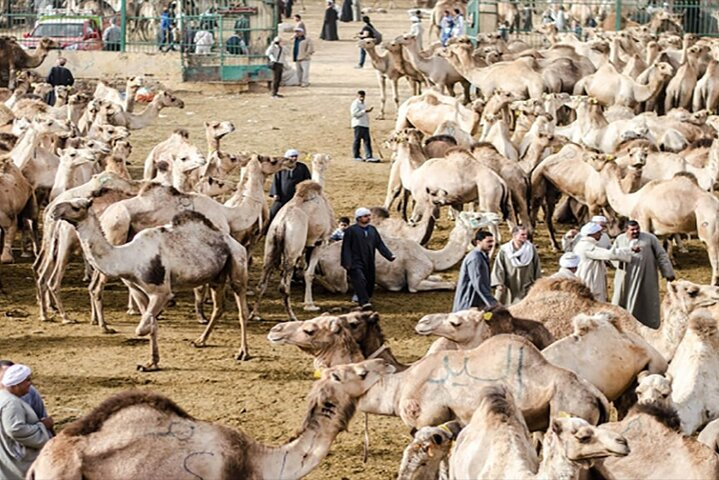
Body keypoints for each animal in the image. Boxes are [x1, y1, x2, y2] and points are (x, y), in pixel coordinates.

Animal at [51, 199, 250, 371]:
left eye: (76, 207)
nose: (54, 210)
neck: (127, 257)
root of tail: (233, 242)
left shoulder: (161, 291)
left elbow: (142, 327)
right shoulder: (138, 289)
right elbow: (151, 322)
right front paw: (151, 363)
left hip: (237, 263)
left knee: (241, 309)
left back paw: (243, 353)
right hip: (217, 276)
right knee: (219, 307)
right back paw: (200, 341)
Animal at [252, 181, 335, 321]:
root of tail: (281, 224)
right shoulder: (320, 242)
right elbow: (309, 274)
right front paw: (310, 305)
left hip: (270, 245)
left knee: (262, 282)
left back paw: (254, 314)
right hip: (292, 249)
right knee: (283, 286)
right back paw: (293, 317)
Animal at [314, 211, 500, 294]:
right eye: (477, 217)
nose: (496, 216)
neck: (432, 257)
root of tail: (322, 257)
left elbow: (439, 277)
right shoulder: (414, 281)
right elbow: (449, 284)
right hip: (338, 273)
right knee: (338, 287)